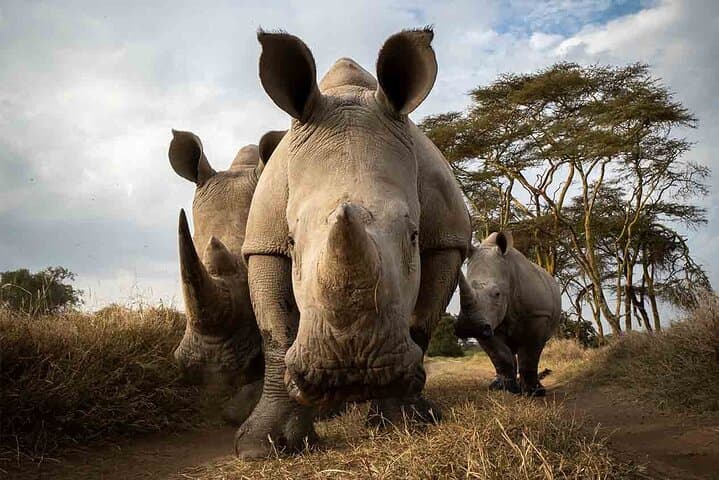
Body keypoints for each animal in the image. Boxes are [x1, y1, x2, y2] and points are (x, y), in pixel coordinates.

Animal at [234, 28, 471, 457]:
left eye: (413, 236)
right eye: (291, 241)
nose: (352, 372)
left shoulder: (448, 237)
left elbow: (422, 323)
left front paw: (407, 423)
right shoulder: (262, 240)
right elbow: (275, 333)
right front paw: (262, 448)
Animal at [455, 231, 561, 396]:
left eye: (497, 294)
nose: (468, 327)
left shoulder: (538, 315)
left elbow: (529, 356)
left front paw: (534, 393)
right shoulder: (487, 323)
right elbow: (500, 355)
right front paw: (506, 390)